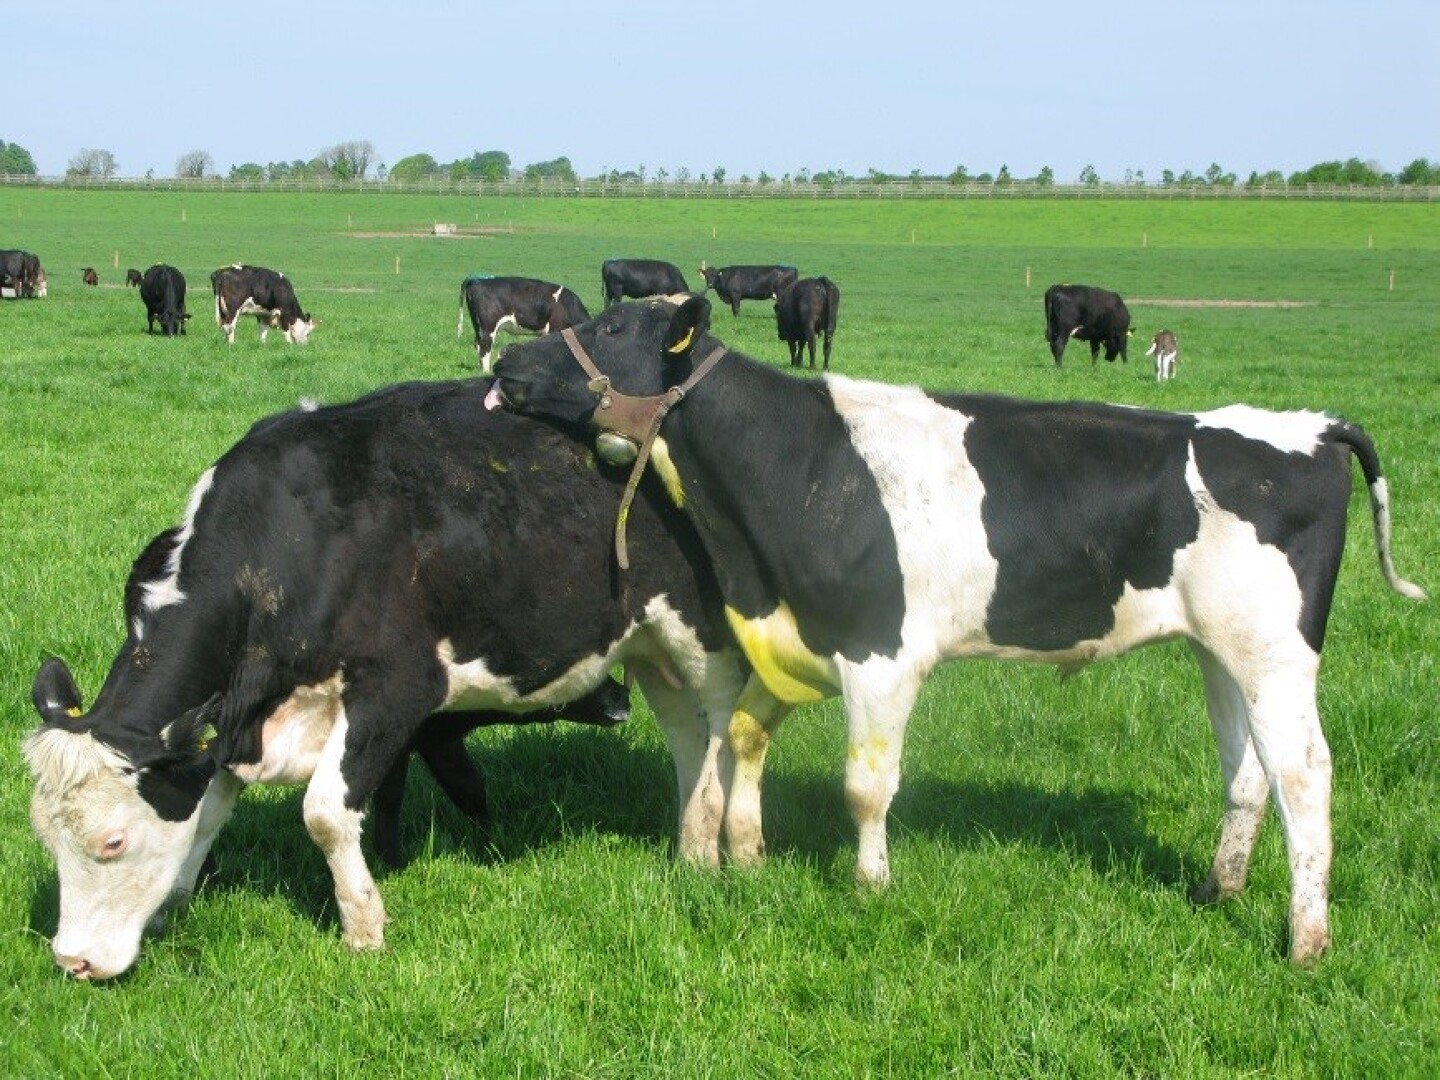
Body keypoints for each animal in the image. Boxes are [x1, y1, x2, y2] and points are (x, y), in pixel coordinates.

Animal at [24, 379, 746, 979]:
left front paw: (363, 926)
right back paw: (689, 849)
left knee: (721, 729)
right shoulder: (237, 719)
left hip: (700, 633)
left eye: (113, 841)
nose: (73, 962)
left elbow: (323, 814)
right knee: (685, 735)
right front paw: (176, 900)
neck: (293, 545)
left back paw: (721, 843)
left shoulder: (398, 689)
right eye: (46, 836)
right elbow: (207, 813)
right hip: (647, 642)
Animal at [457, 274, 590, 374]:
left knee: (478, 345)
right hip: (488, 326)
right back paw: (486, 371)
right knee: (485, 346)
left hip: (477, 325)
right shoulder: (554, 328)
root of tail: (477, 280)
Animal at [492, 295, 1426, 965]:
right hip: (1219, 650)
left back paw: (1305, 941)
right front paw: (748, 859)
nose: (505, 362)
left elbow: (867, 788)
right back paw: (1216, 890)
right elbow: (747, 741)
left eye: (612, 326)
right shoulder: (795, 638)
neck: (798, 469)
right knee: (1247, 769)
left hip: (1276, 652)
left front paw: (869, 887)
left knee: (1304, 774)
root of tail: (1307, 426)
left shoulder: (881, 652)